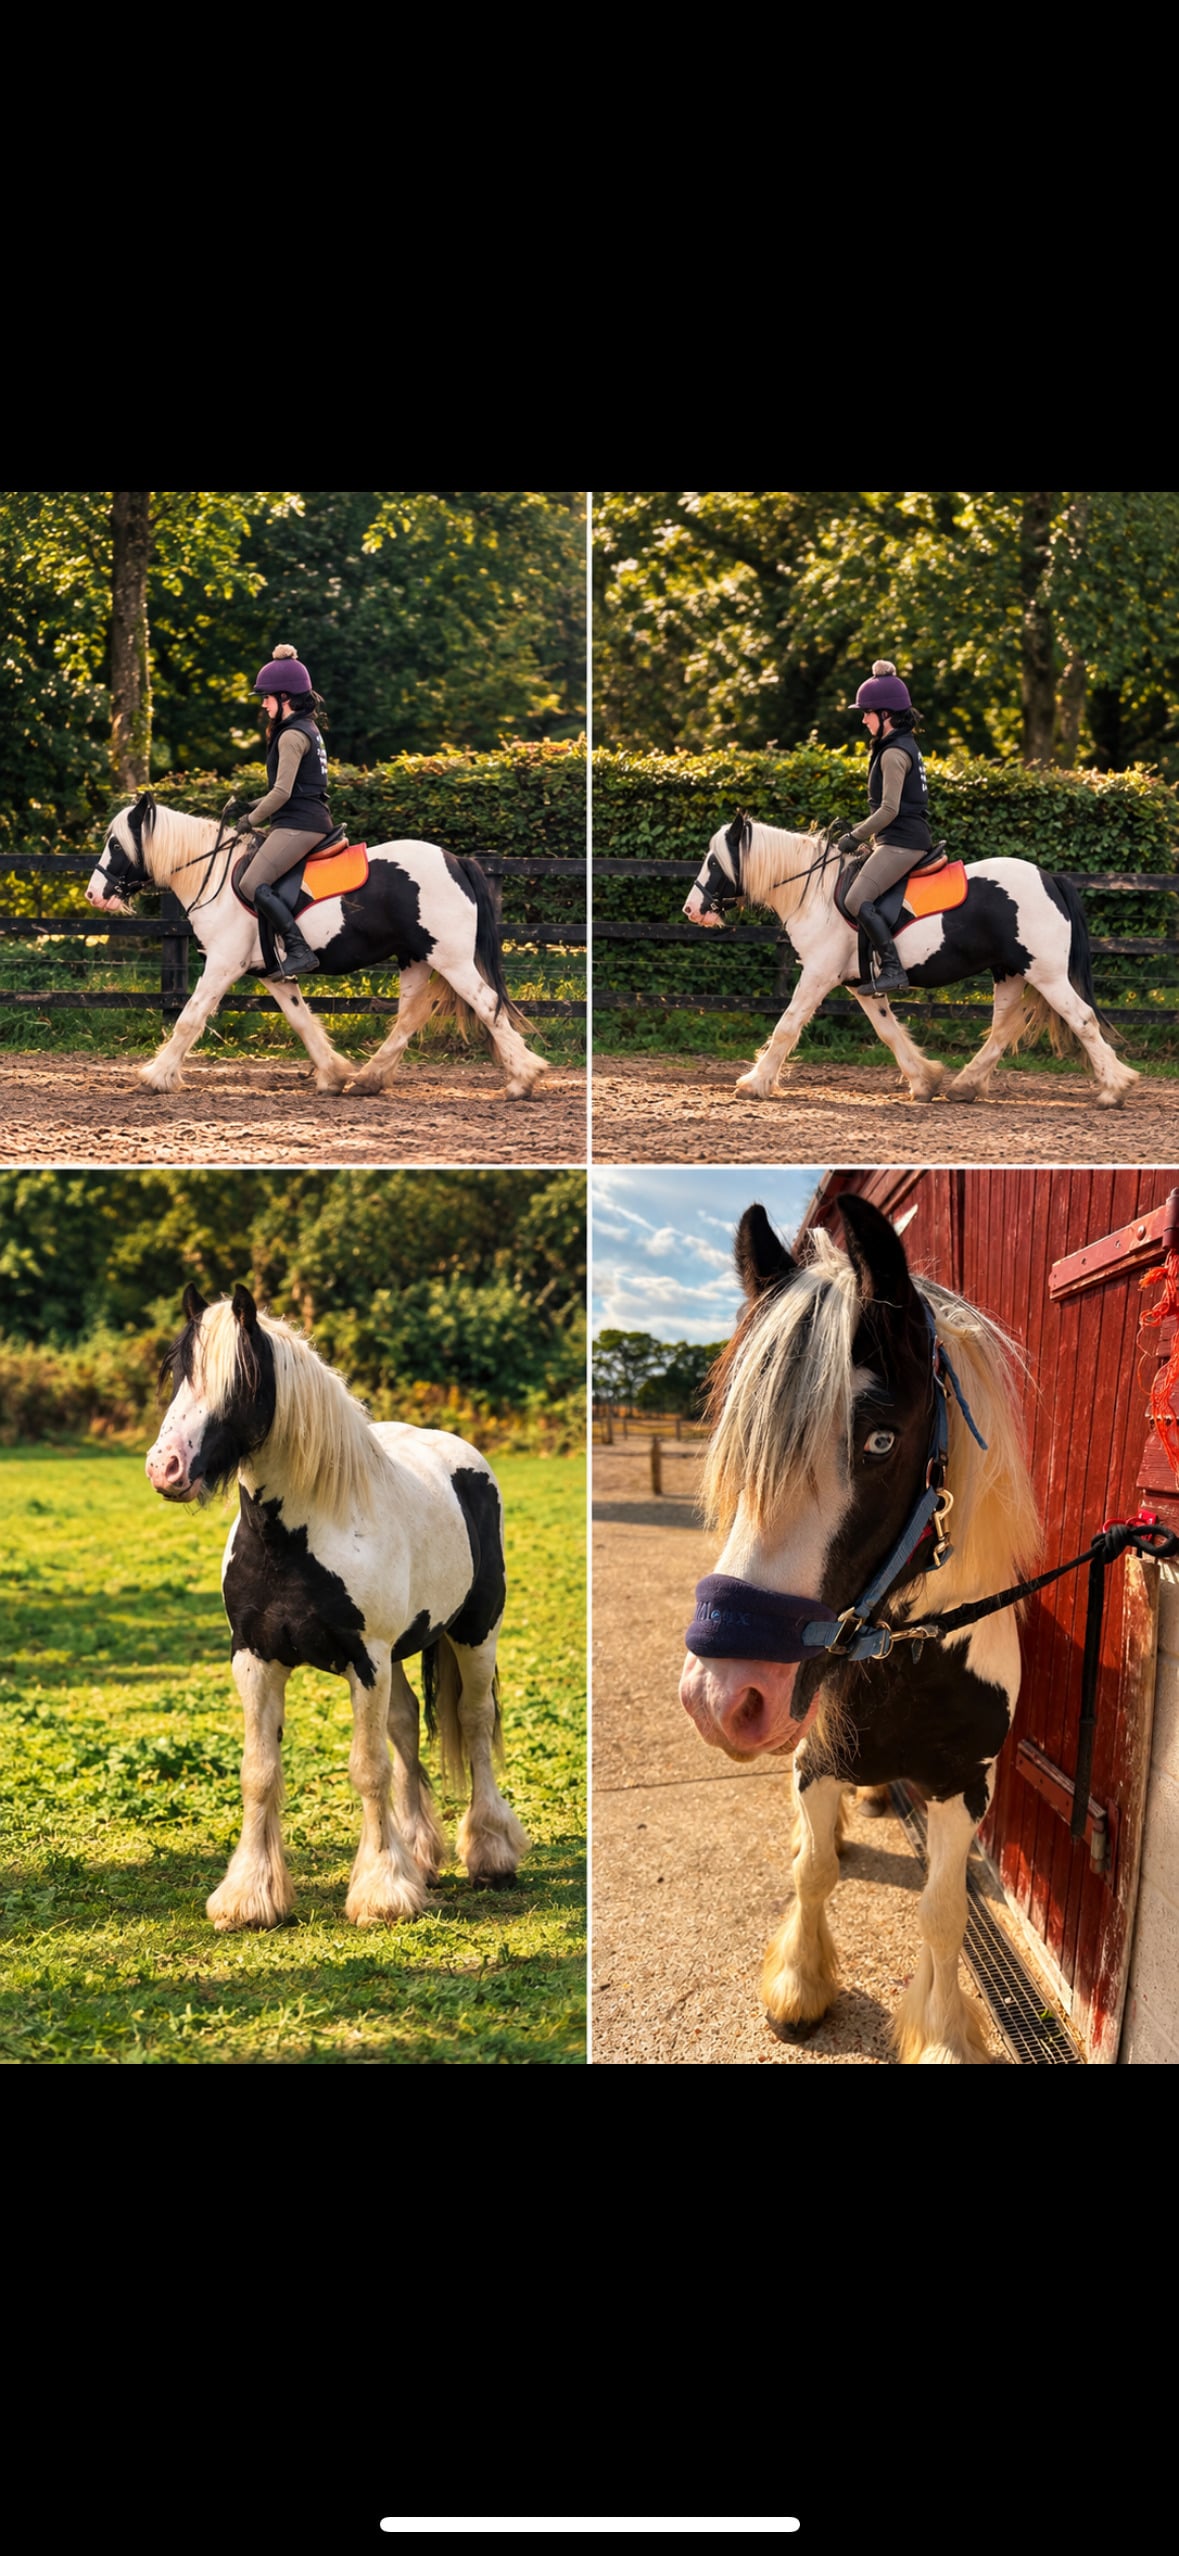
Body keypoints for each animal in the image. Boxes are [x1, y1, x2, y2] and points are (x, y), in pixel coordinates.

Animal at [86, 792, 550, 1099]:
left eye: (115, 844)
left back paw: (522, 1079)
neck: (211, 872)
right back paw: (369, 1079)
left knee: (486, 1003)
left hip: (450, 959)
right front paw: (332, 1074)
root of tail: (455, 860)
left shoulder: (222, 964)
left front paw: (156, 1075)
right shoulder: (271, 973)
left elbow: (189, 1017)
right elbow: (301, 1020)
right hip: (415, 959)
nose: (94, 895)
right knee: (410, 1016)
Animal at [147, 1283, 529, 1931]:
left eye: (242, 1383)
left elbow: (368, 1768)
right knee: (405, 1724)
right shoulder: (255, 1659)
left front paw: (381, 1893)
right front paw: (250, 1896)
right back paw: (420, 1855)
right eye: (180, 1373)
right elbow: (259, 1773)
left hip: (475, 1634)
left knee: (475, 1723)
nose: (165, 1467)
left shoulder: (365, 1660)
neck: (295, 1539)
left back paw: (490, 1853)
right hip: (401, 1653)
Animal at [679, 1192, 1040, 2063]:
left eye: (879, 1440)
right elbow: (812, 1872)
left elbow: (943, 1915)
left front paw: (942, 2035)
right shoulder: (813, 1758)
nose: (722, 1696)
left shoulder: (963, 1785)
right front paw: (799, 1985)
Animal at [683, 812, 1140, 1108]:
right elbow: (888, 1032)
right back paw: (964, 1085)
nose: (691, 910)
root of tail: (1049, 878)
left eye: (712, 861)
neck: (815, 892)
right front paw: (924, 1081)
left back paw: (1113, 1089)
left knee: (1082, 1019)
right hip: (1010, 972)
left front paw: (754, 1083)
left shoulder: (817, 974)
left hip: (1044, 973)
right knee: (1003, 1029)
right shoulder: (860, 984)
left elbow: (787, 1026)